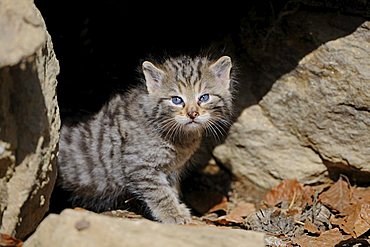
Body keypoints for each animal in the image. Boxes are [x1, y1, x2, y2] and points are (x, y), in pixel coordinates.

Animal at [56, 55, 233, 224]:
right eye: (176, 100)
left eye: (204, 97)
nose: (192, 114)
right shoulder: (140, 165)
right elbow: (160, 193)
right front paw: (173, 213)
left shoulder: (172, 168)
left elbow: (171, 189)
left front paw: (177, 206)